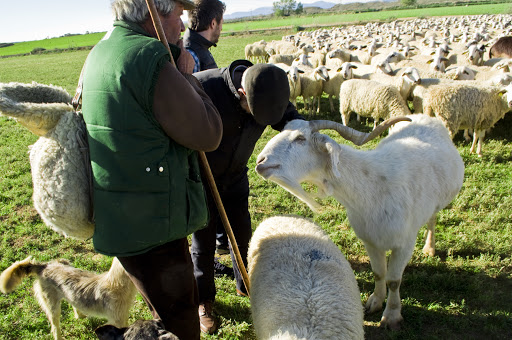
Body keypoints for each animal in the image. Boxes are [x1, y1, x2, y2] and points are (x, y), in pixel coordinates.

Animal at [0, 256, 137, 338]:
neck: (117, 284)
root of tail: (44, 266)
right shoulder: (118, 321)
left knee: (73, 303)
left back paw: (80, 315)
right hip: (53, 307)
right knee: (55, 327)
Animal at [254, 114, 466, 330]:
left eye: (300, 138)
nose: (260, 161)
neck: (373, 187)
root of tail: (423, 115)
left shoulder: (404, 243)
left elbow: (394, 281)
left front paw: (391, 316)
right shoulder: (370, 239)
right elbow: (379, 273)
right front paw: (375, 302)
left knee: (431, 219)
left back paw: (429, 248)